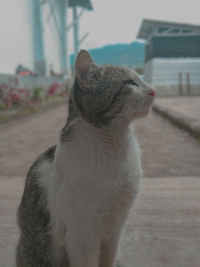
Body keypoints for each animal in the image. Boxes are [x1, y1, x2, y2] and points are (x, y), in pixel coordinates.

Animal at [16, 50, 155, 267]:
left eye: (141, 79)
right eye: (130, 83)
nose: (154, 91)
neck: (116, 145)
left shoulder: (113, 231)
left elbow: (108, 260)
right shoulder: (82, 238)